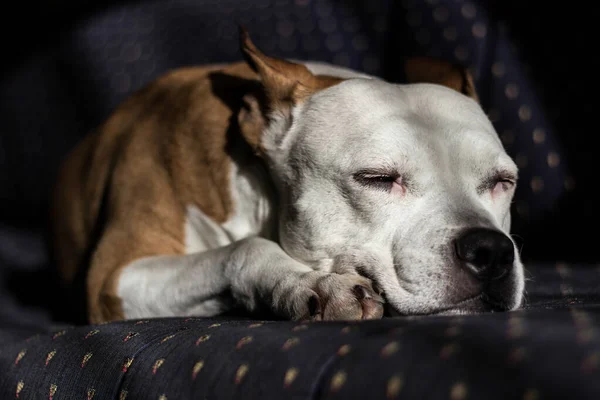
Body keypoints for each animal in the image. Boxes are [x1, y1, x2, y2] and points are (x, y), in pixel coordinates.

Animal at [50, 28, 520, 324]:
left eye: (503, 182)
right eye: (378, 178)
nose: (491, 250)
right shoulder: (112, 277)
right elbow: (242, 250)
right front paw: (309, 282)